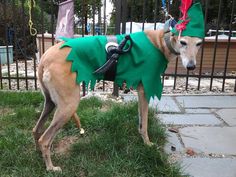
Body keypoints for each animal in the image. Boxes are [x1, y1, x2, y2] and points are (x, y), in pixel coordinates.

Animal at [32, 29, 203, 171]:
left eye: (199, 43)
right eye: (183, 42)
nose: (191, 66)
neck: (160, 41)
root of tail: (44, 57)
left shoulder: (140, 92)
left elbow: (141, 120)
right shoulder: (145, 90)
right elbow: (145, 123)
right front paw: (147, 144)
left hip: (51, 103)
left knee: (36, 130)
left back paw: (39, 156)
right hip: (68, 106)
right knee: (44, 140)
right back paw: (51, 168)